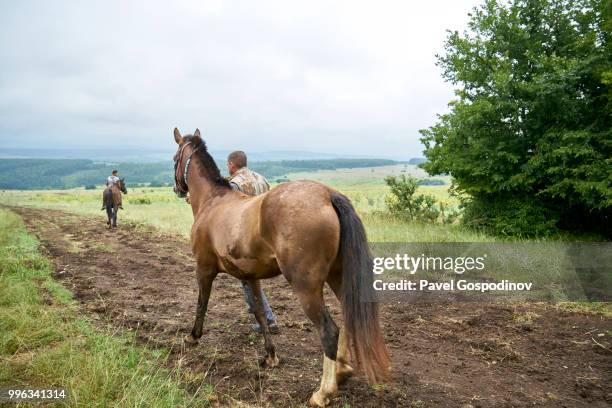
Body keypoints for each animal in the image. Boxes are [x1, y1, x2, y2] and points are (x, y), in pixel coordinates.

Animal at [171, 129, 392, 406]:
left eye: (174, 158)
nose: (177, 188)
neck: (213, 201)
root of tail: (327, 195)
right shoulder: (250, 277)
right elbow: (259, 313)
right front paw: (271, 355)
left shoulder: (204, 268)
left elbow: (202, 303)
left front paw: (193, 336)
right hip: (338, 277)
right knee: (347, 318)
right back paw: (342, 371)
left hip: (306, 287)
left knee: (329, 331)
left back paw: (322, 393)